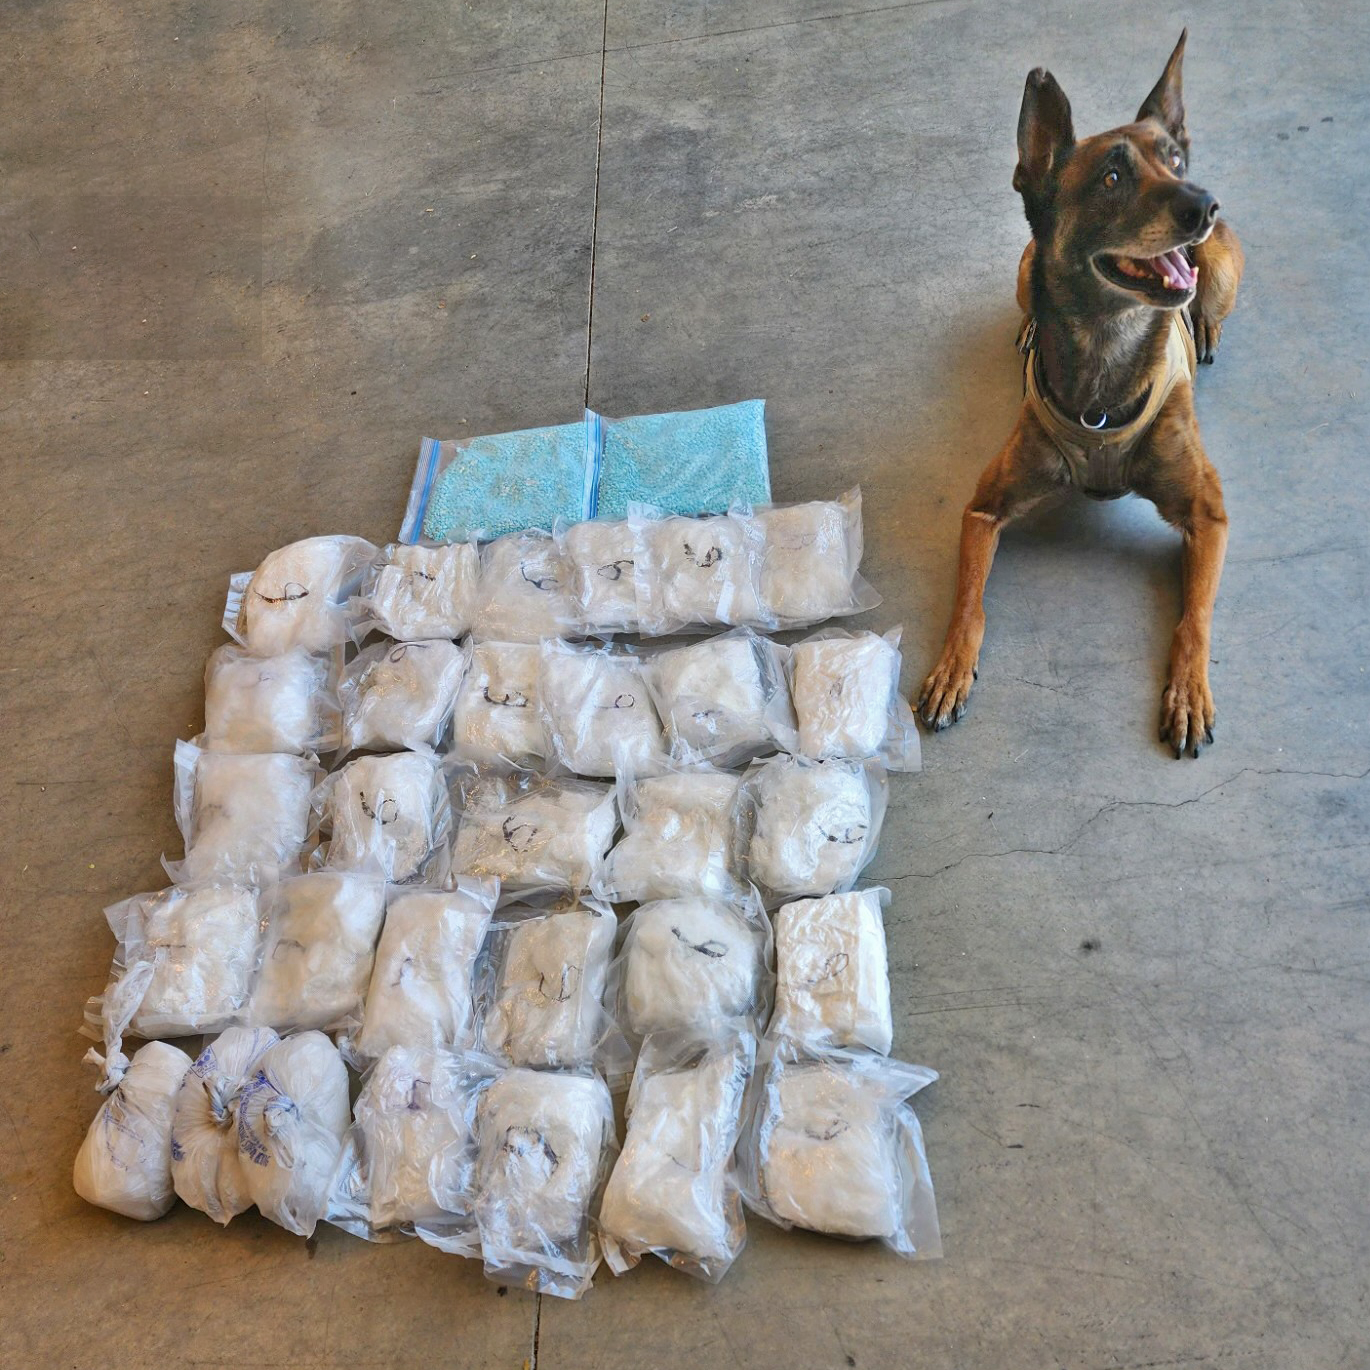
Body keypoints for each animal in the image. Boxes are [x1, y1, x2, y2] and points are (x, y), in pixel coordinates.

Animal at [917, 30, 1244, 758]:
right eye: (1112, 179)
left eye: (1173, 160)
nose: (1202, 201)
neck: (1104, 351)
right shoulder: (982, 510)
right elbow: (969, 602)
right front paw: (952, 667)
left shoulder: (1208, 516)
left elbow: (1196, 617)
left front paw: (1189, 692)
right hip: (1021, 269)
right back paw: (1027, 326)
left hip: (1225, 265)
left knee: (1212, 296)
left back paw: (1206, 326)